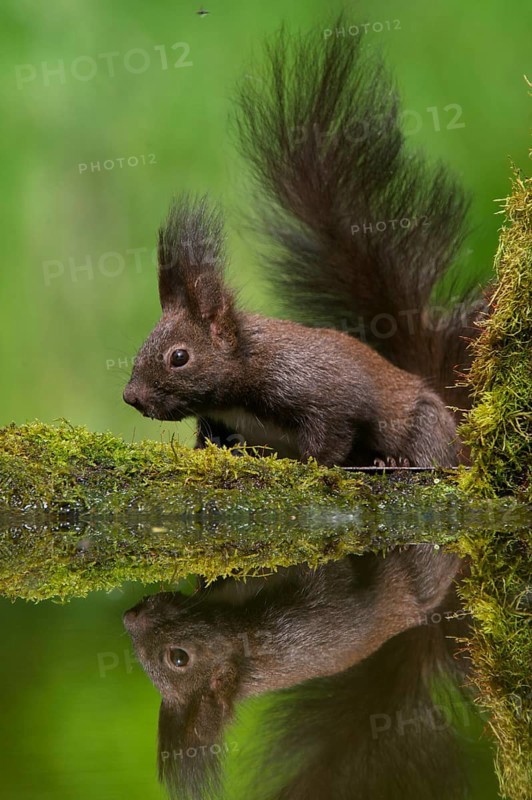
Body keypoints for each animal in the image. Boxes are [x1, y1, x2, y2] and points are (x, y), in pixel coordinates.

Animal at [123, 22, 485, 467]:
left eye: (179, 357)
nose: (131, 397)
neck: (240, 385)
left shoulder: (325, 395)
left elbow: (331, 437)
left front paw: (317, 463)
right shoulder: (219, 421)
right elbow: (211, 439)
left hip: (423, 422)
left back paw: (396, 462)